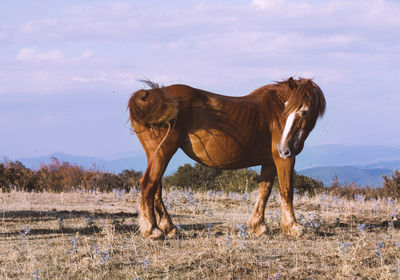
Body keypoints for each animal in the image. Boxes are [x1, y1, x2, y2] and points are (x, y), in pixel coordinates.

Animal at [128, 77, 324, 240]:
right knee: (149, 183)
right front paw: (293, 226)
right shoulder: (283, 159)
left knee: (156, 188)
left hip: (156, 154)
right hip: (162, 152)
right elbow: (286, 190)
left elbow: (264, 191)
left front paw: (259, 226)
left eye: (304, 112)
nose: (284, 148)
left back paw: (169, 227)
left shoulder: (269, 161)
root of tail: (149, 96)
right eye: (286, 110)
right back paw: (152, 230)